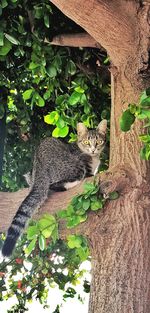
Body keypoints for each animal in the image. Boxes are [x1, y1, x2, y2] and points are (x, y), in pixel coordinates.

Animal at [1, 119, 106, 256]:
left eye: (99, 141)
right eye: (86, 142)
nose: (93, 150)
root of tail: (39, 161)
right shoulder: (84, 163)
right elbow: (88, 175)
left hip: (30, 175)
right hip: (73, 165)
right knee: (55, 185)